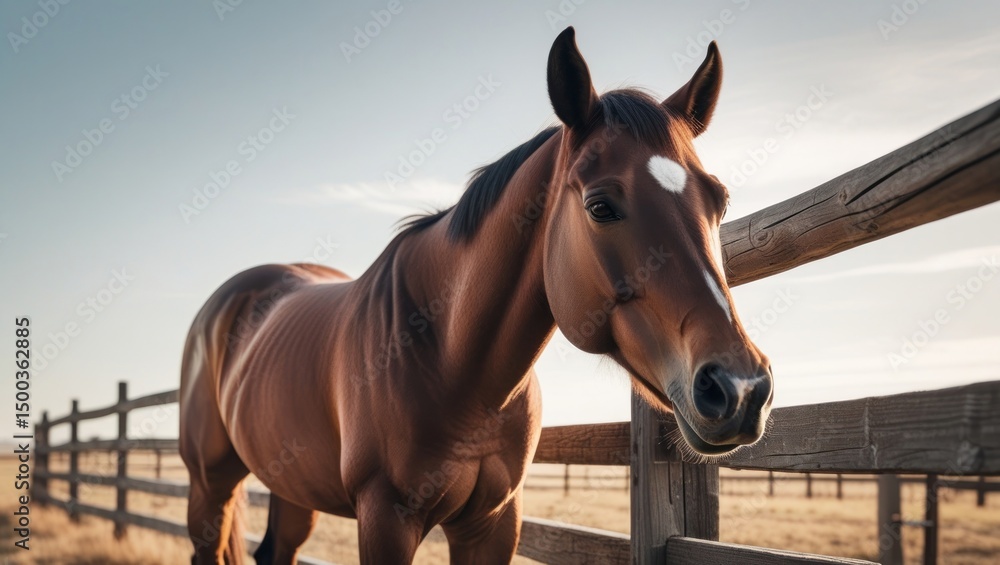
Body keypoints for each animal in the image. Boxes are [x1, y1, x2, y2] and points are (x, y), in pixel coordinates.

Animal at [179, 26, 773, 565]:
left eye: (719, 199)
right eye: (601, 206)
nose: (740, 388)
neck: (446, 356)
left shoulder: (492, 523)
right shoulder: (384, 518)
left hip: (292, 489)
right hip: (211, 487)